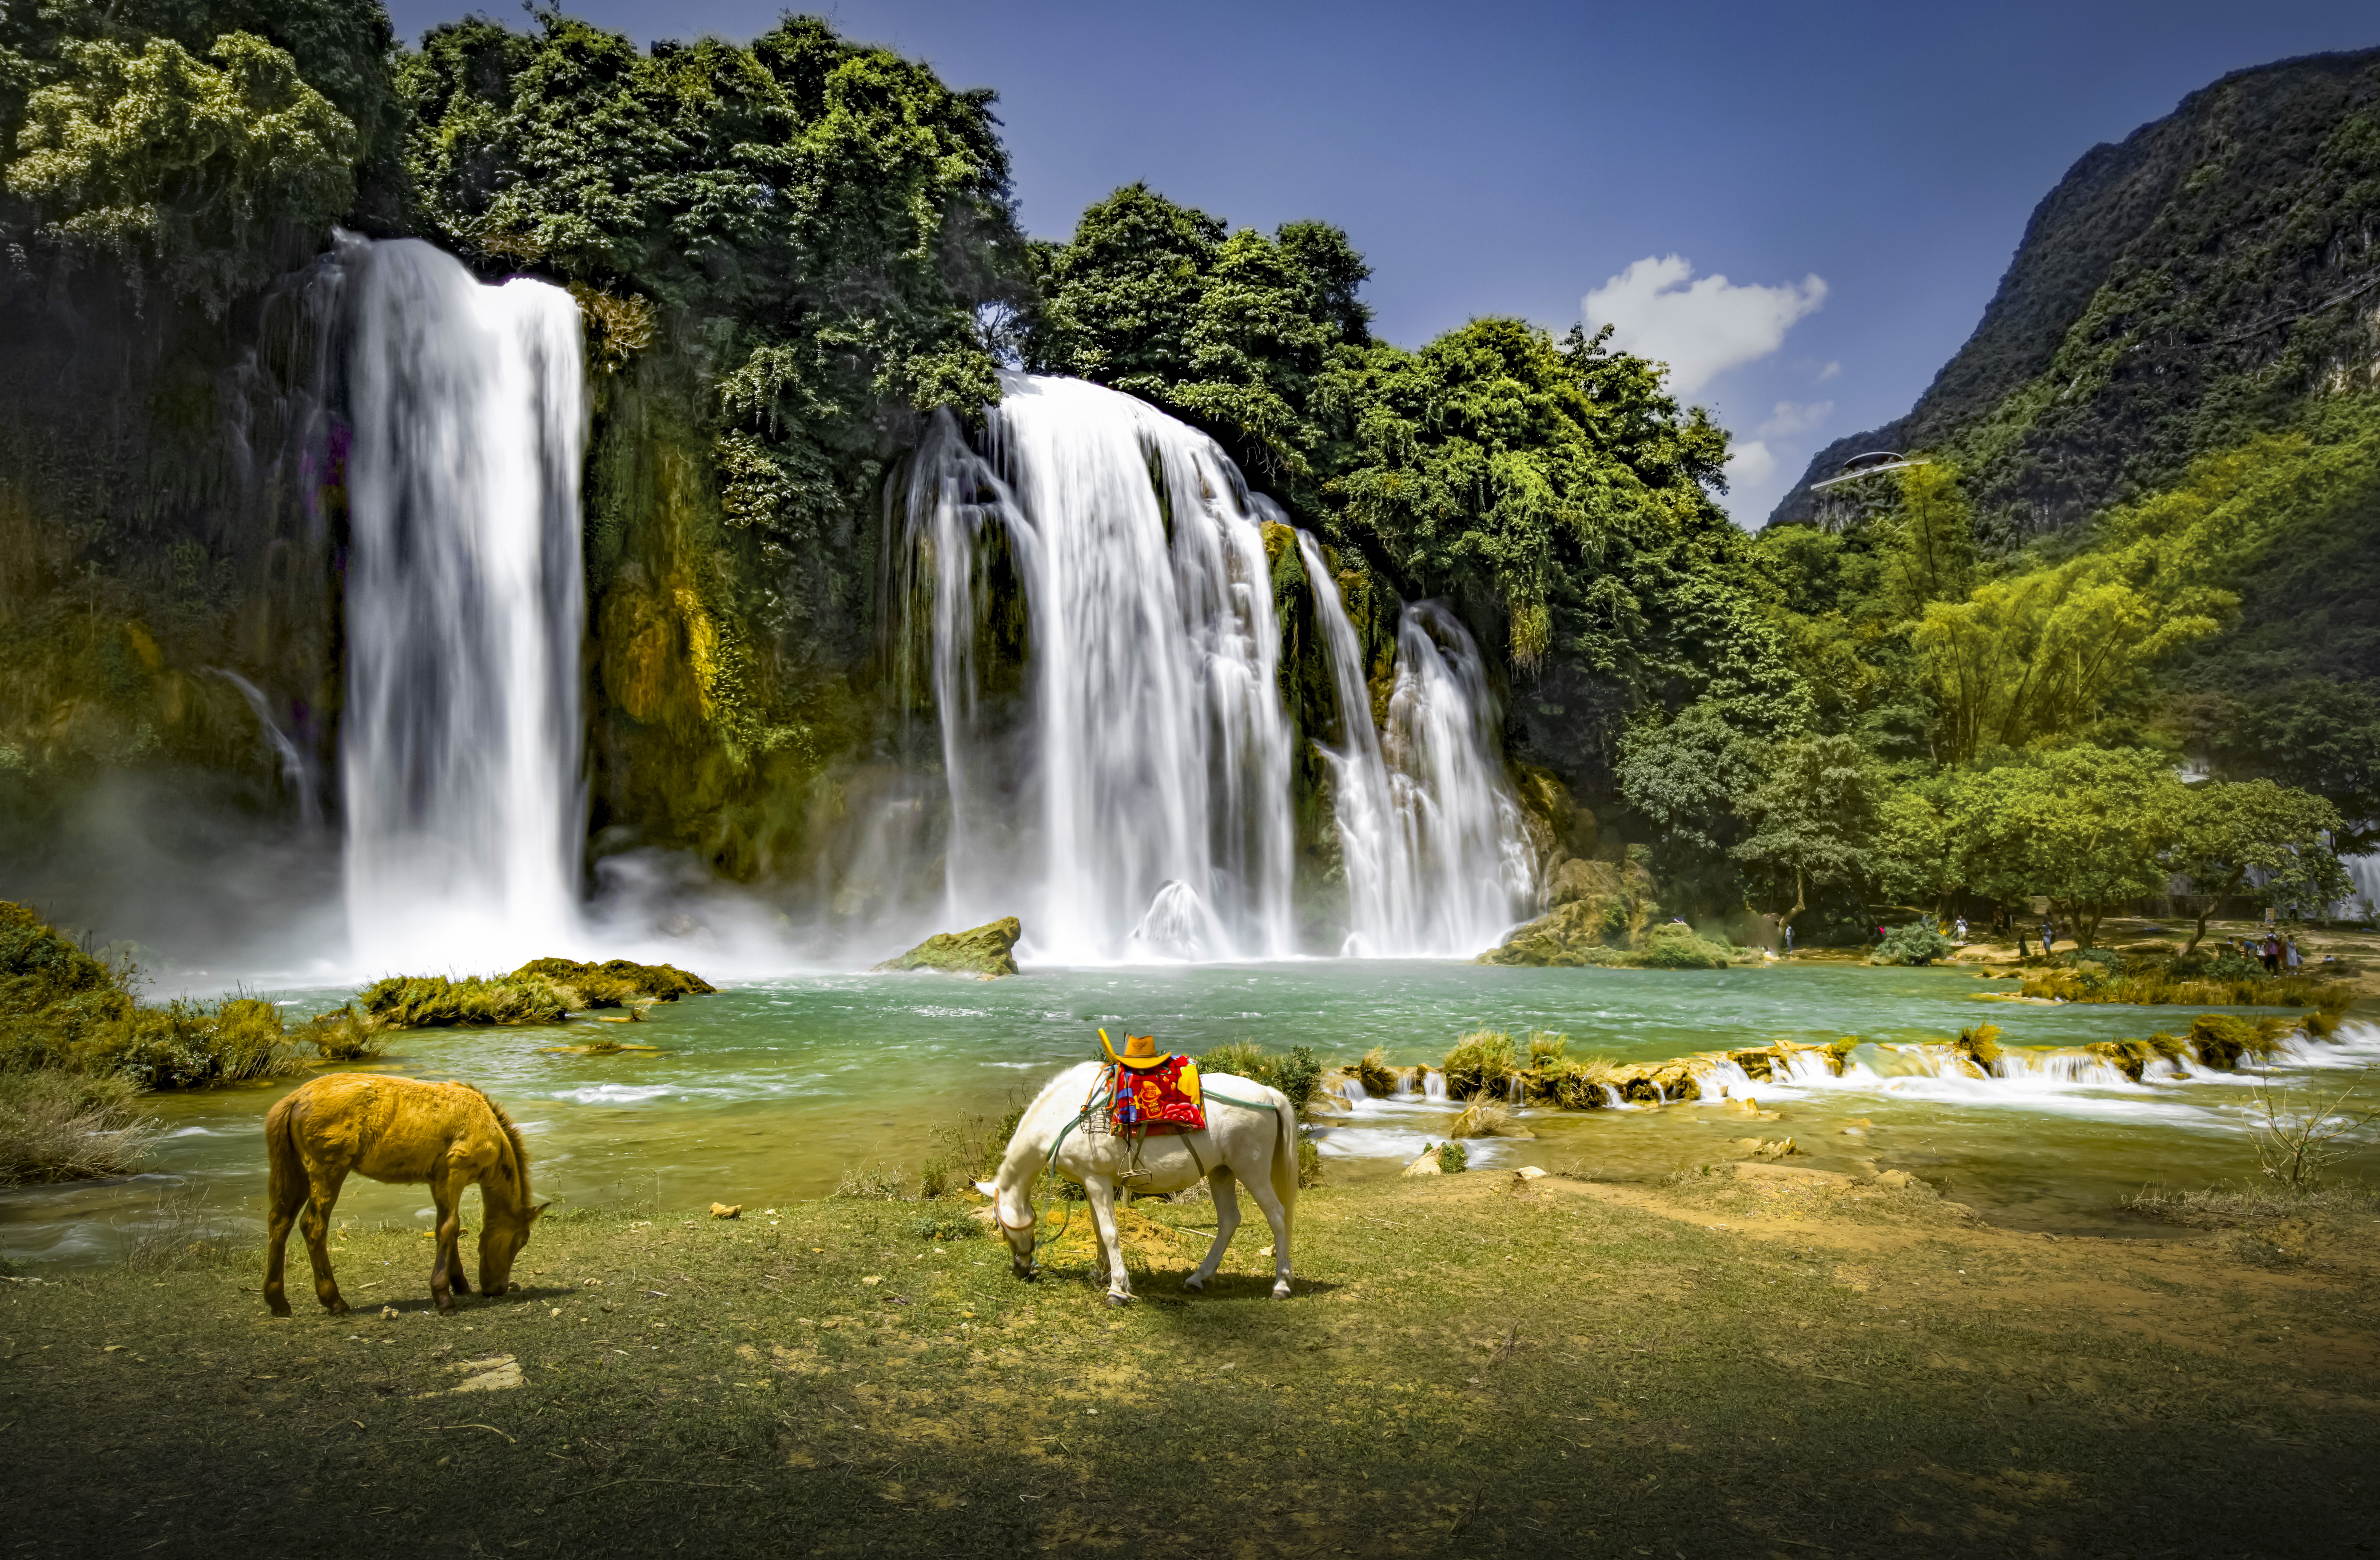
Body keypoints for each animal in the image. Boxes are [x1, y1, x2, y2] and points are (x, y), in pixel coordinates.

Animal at [263, 1077, 545, 1315]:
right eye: (521, 1240)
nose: (497, 1289)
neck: (488, 1128)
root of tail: (295, 1098)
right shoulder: (456, 1171)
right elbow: (449, 1228)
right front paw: (443, 1297)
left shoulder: (438, 1180)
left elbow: (447, 1228)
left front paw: (460, 1284)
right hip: (329, 1170)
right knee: (313, 1226)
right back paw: (335, 1301)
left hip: (296, 1171)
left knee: (280, 1222)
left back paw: (278, 1302)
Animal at [971, 1062, 1304, 1305]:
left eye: (998, 1223)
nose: (1020, 1269)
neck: (1064, 1115)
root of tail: (1268, 1095)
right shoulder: (1093, 1183)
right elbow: (1098, 1229)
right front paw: (1100, 1274)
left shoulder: (1096, 1181)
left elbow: (1109, 1232)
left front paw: (1117, 1289)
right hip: (1222, 1173)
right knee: (1229, 1221)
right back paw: (1198, 1278)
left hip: (1252, 1172)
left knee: (1277, 1217)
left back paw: (1281, 1285)